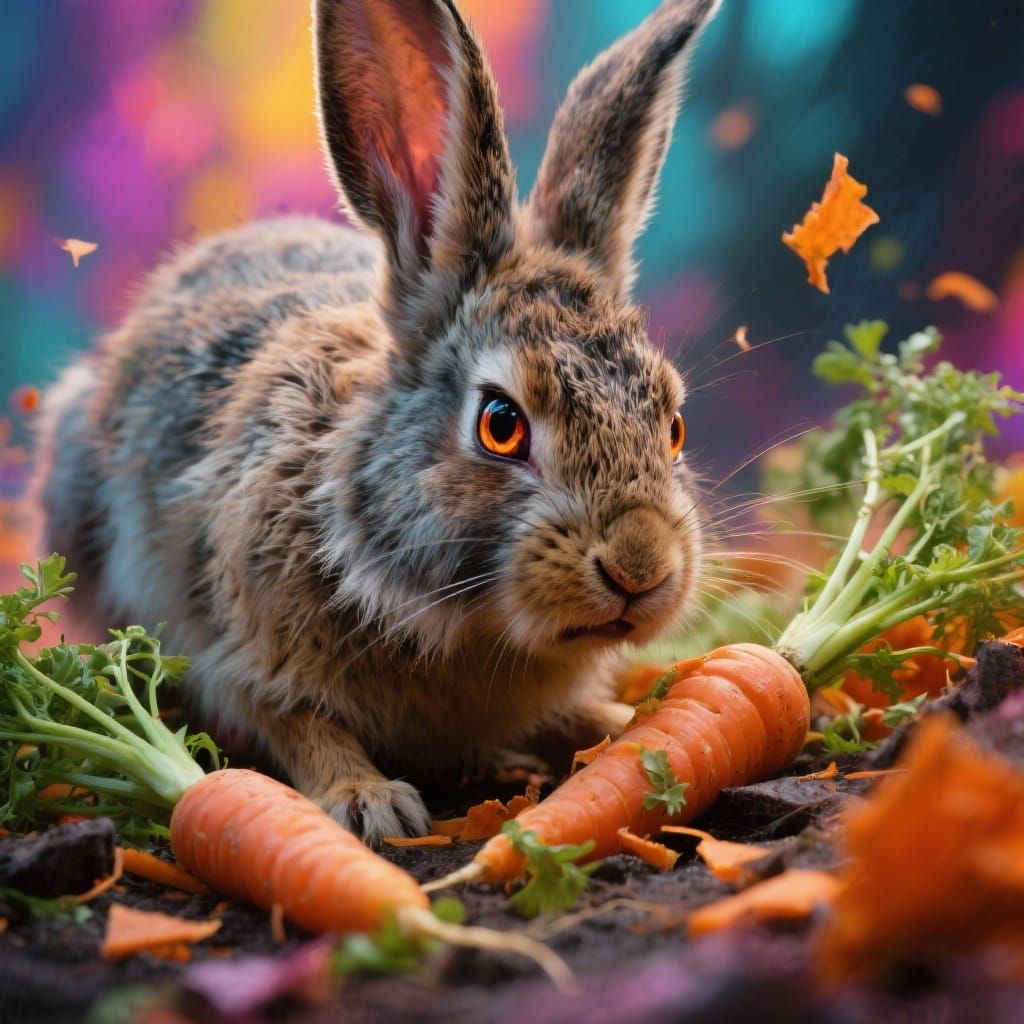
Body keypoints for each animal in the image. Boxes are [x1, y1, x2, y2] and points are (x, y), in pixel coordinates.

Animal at [34, 0, 719, 845]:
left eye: (674, 424)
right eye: (501, 424)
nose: (640, 568)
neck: (475, 624)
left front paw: (627, 721)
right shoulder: (242, 648)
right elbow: (296, 721)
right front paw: (371, 803)